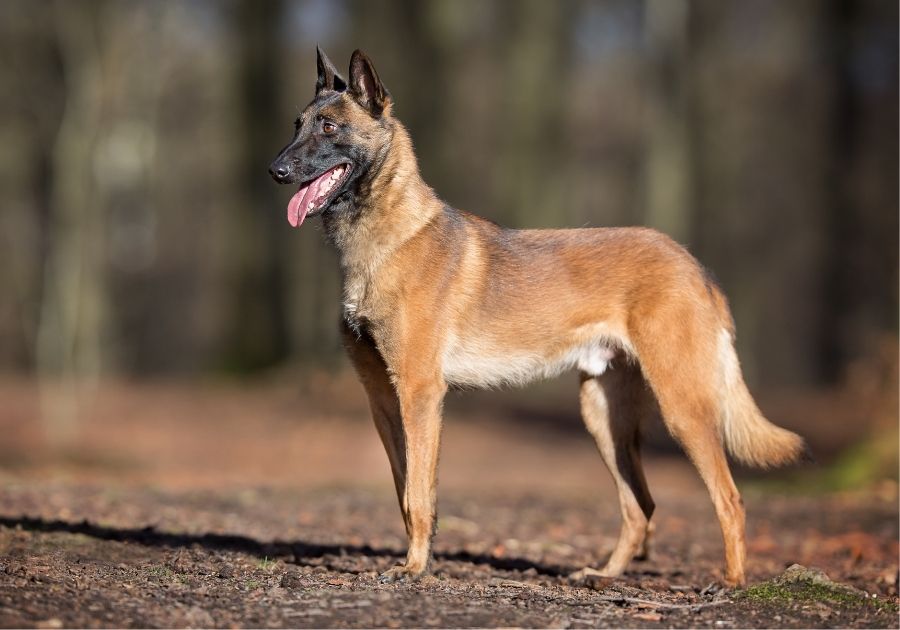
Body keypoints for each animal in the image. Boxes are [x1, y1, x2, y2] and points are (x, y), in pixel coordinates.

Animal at [270, 48, 804, 588]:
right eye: (297, 124)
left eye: (330, 127)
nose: (276, 170)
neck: (385, 240)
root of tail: (695, 266)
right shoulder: (383, 399)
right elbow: (405, 493)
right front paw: (416, 559)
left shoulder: (420, 394)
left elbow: (419, 496)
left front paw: (415, 568)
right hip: (602, 415)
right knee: (640, 507)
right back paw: (603, 576)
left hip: (682, 408)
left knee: (729, 498)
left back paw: (732, 583)